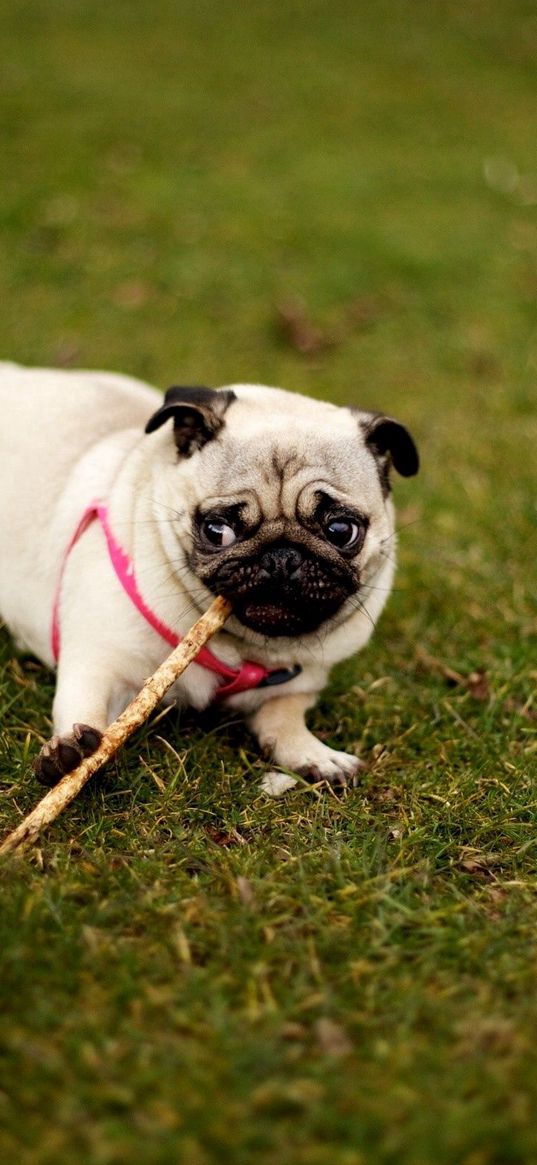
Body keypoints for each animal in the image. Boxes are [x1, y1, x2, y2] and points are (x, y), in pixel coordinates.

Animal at [0, 358, 419, 787]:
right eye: (218, 531)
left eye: (340, 531)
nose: (282, 557)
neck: (241, 649)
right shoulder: (100, 662)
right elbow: (88, 709)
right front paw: (72, 754)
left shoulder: (299, 684)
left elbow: (284, 718)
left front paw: (314, 754)